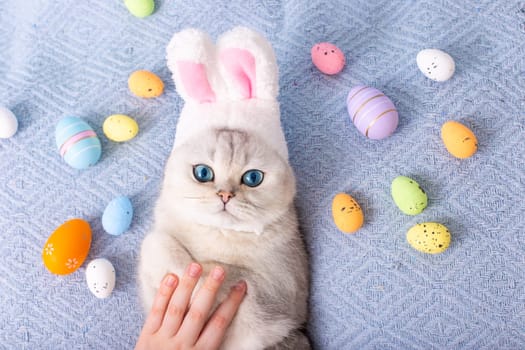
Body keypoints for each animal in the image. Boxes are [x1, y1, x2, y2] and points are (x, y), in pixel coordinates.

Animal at [137, 27, 310, 350]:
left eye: (252, 178)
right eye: (203, 173)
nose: (225, 195)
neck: (216, 236)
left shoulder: (272, 289)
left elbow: (217, 270)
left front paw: (195, 280)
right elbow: (155, 243)